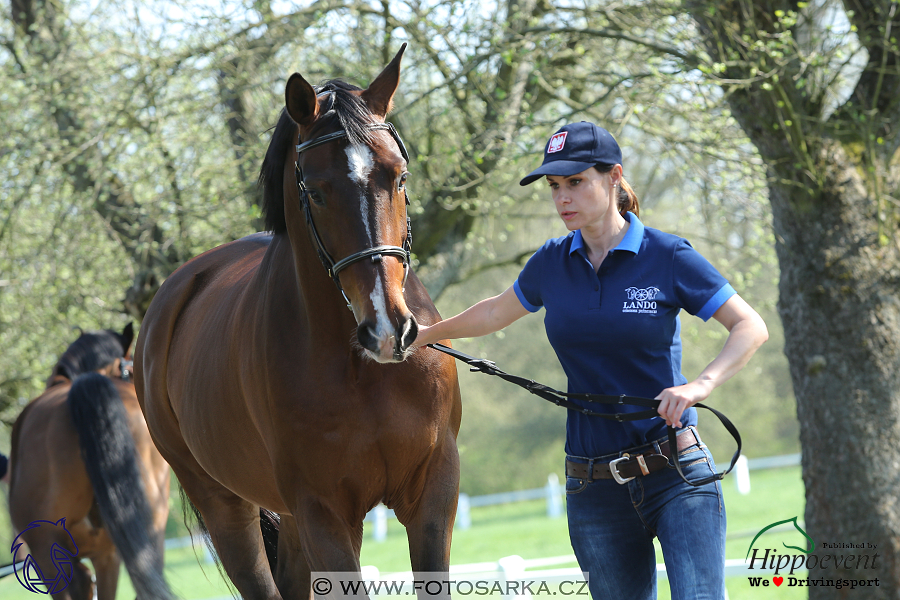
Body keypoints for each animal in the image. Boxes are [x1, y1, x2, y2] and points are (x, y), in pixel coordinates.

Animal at [136, 43, 464, 600]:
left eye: (399, 176)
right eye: (314, 191)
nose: (388, 330)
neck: (362, 369)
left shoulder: (433, 494)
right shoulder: (323, 513)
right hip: (226, 508)